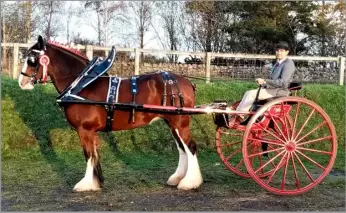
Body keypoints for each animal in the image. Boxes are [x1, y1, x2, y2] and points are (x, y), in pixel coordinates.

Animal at [18, 35, 203, 192]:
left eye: (32, 60)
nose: (22, 82)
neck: (83, 85)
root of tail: (187, 82)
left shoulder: (84, 130)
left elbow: (88, 155)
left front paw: (86, 184)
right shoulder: (91, 131)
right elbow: (94, 155)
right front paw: (96, 182)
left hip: (180, 122)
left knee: (190, 147)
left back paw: (189, 182)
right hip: (172, 122)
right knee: (182, 148)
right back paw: (177, 178)